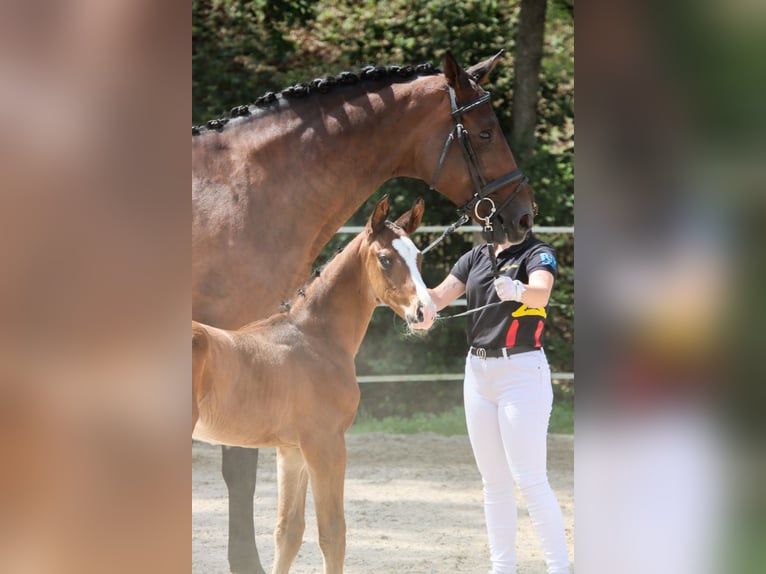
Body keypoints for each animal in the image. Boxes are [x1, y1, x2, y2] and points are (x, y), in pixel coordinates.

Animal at [192, 196, 432, 572]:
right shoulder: (326, 444)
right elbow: (332, 533)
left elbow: (288, 531)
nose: (425, 312)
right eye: (385, 258)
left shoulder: (291, 450)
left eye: (419, 257)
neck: (315, 338)